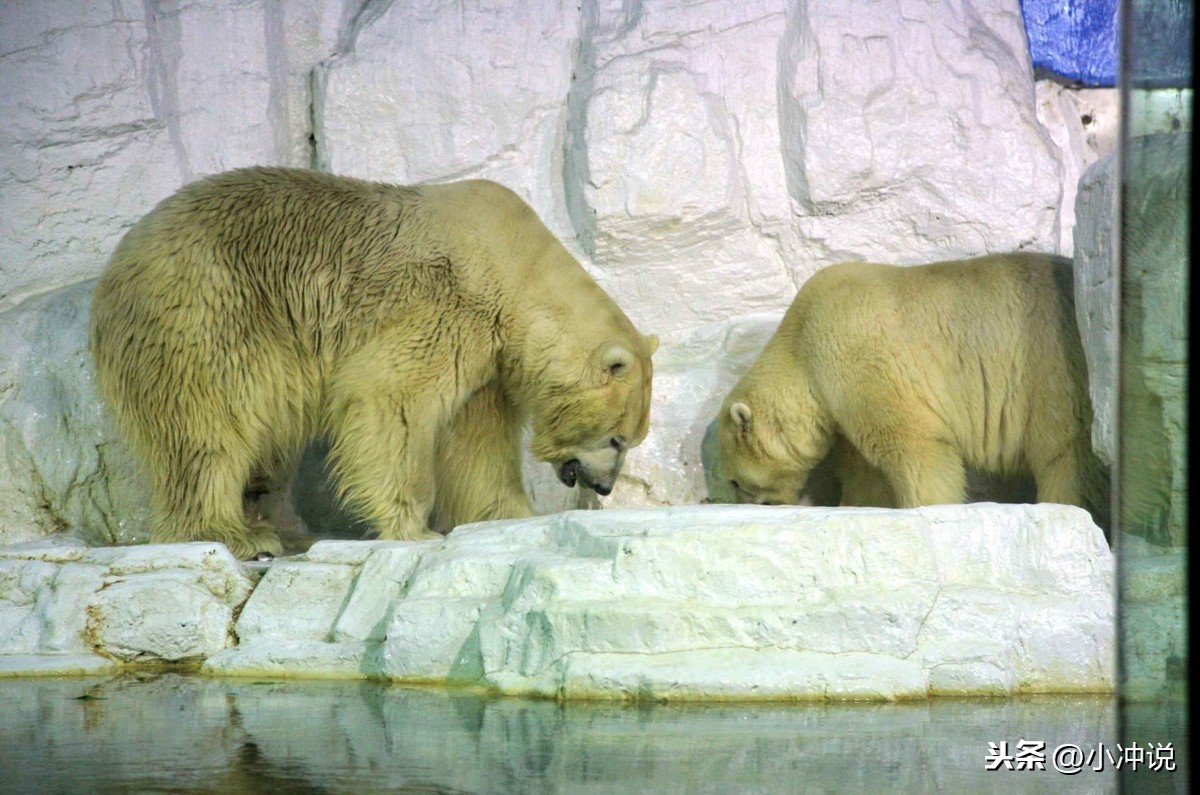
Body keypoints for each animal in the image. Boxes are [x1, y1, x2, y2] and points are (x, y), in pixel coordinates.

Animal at [90, 166, 662, 559]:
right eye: (617, 439)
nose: (605, 487)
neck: (513, 267)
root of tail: (119, 259)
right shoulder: (444, 308)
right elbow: (392, 403)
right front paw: (416, 528)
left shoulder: (487, 357)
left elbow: (477, 442)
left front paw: (511, 513)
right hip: (206, 311)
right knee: (208, 424)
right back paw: (238, 534)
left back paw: (285, 528)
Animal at [715, 252, 1108, 533]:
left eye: (735, 480)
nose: (762, 505)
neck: (801, 339)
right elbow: (866, 473)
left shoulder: (858, 353)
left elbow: (915, 444)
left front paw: (927, 509)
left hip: (1050, 371)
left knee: (1064, 454)